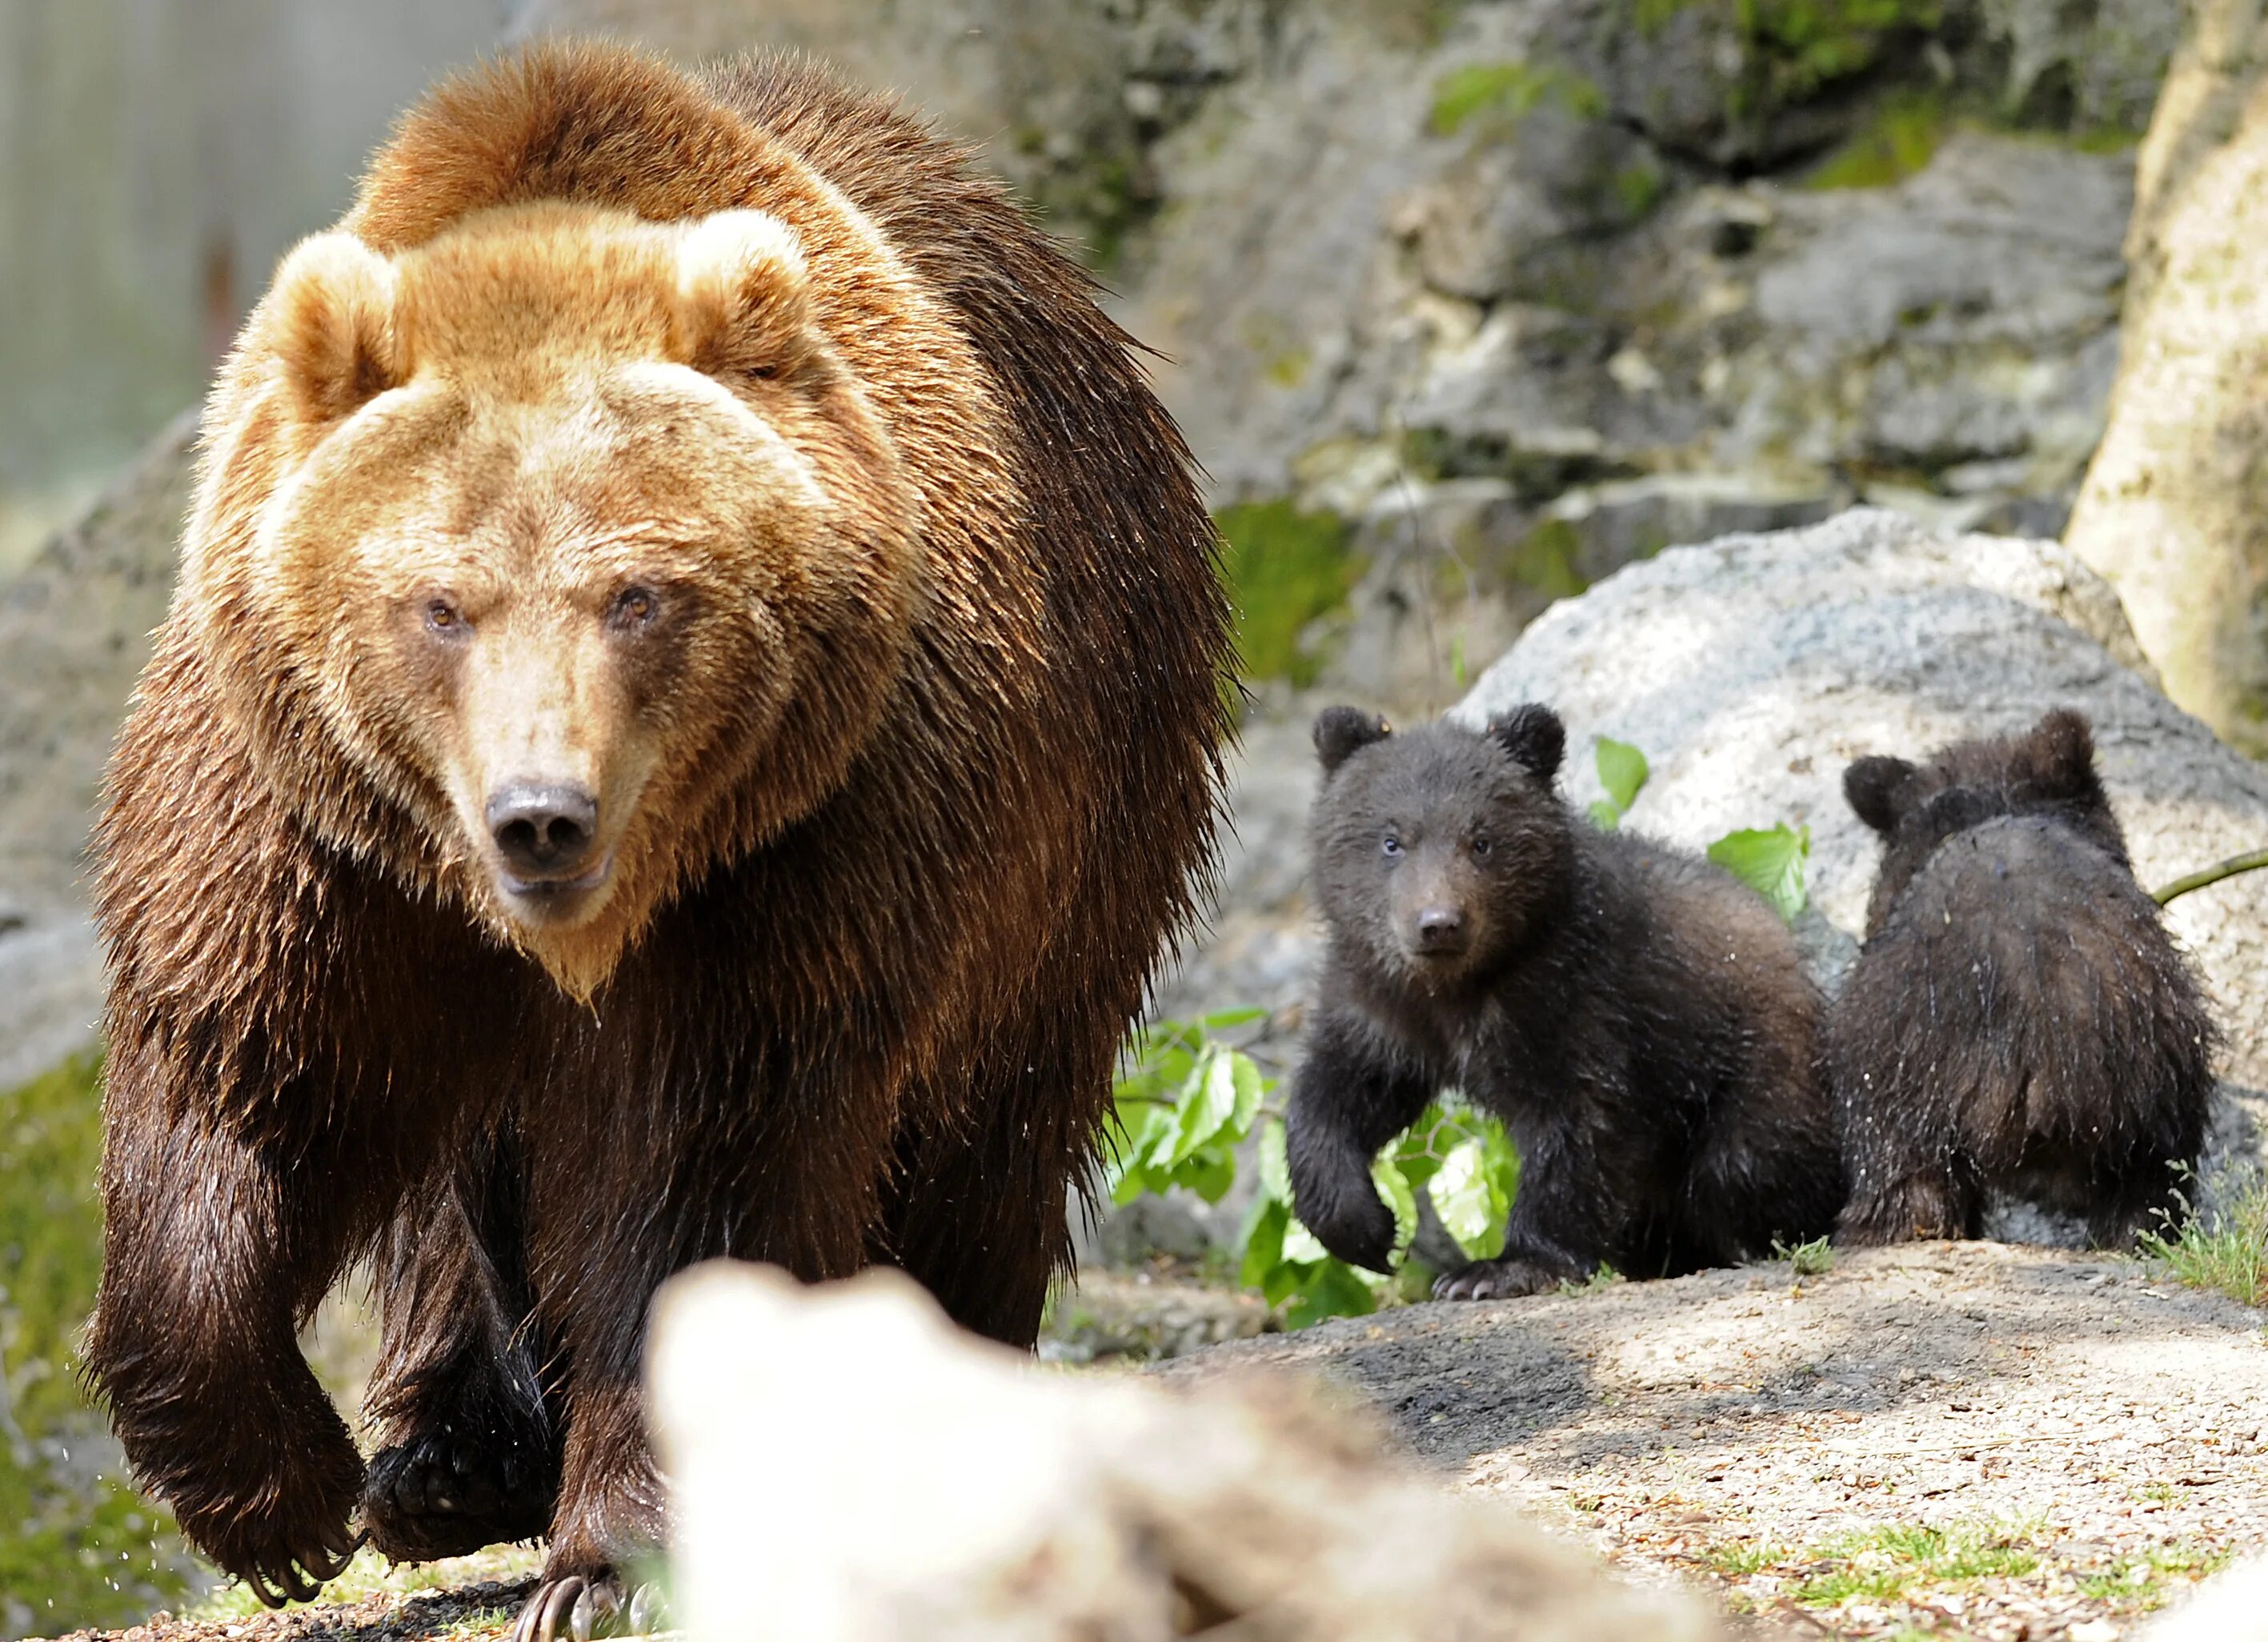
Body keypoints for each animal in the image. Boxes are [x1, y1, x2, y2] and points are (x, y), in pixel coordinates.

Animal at [88, 38, 1233, 1632]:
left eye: (638, 594)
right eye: (441, 603)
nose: (541, 817)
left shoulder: (799, 848)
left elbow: (708, 1162)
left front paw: (608, 1563)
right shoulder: (315, 834)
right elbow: (243, 1076)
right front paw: (283, 1500)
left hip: (1076, 822)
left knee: (992, 1117)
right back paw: (442, 1460)